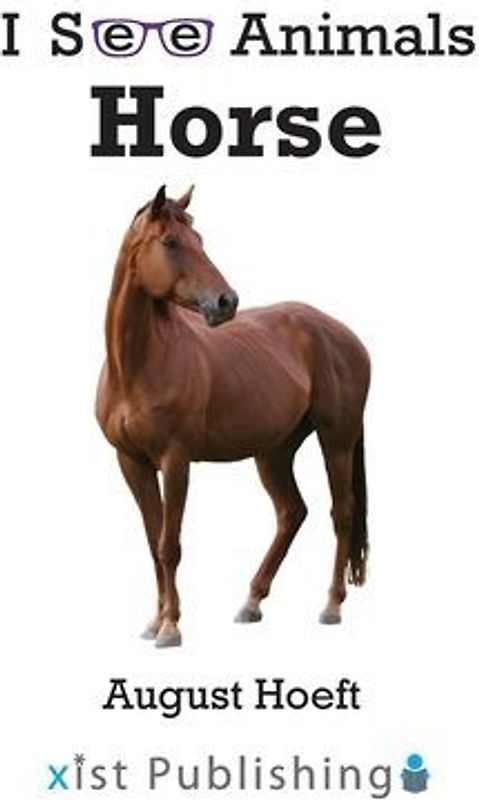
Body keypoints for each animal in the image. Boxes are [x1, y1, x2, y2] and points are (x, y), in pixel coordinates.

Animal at [96, 185, 371, 648]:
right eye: (170, 243)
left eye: (200, 240)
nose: (226, 302)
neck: (137, 364)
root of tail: (345, 335)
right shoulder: (131, 462)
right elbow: (154, 541)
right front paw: (155, 621)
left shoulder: (176, 461)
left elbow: (170, 544)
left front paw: (170, 626)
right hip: (274, 452)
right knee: (291, 513)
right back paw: (252, 602)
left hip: (337, 442)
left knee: (342, 513)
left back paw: (331, 605)